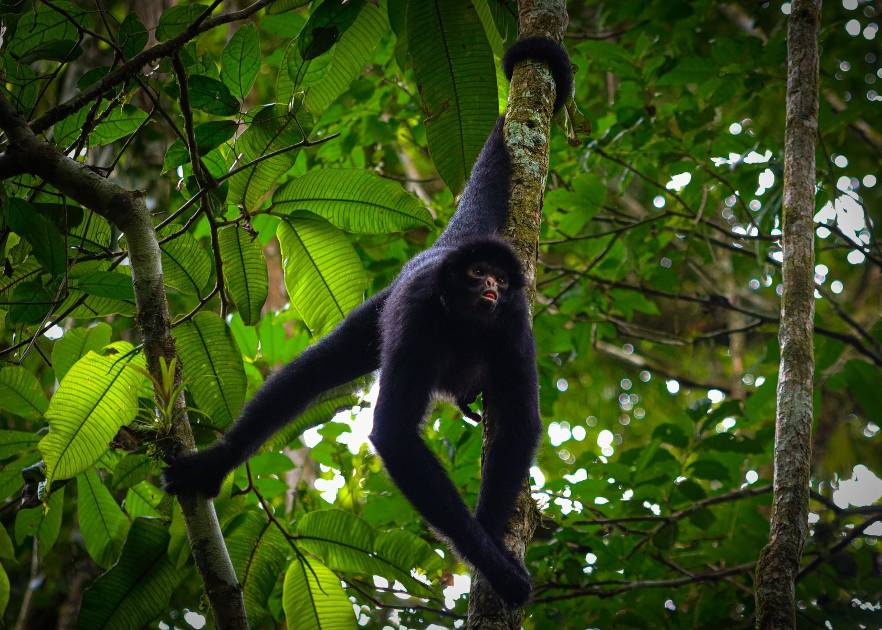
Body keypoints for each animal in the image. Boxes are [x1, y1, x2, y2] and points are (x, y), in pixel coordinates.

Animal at [164, 37, 572, 608]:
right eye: (477, 274)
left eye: (497, 278)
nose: (491, 286)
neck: (464, 322)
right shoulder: (419, 311)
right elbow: (395, 432)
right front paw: (495, 563)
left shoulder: (513, 324)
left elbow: (519, 422)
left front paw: (491, 535)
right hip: (382, 307)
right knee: (314, 370)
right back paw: (216, 463)